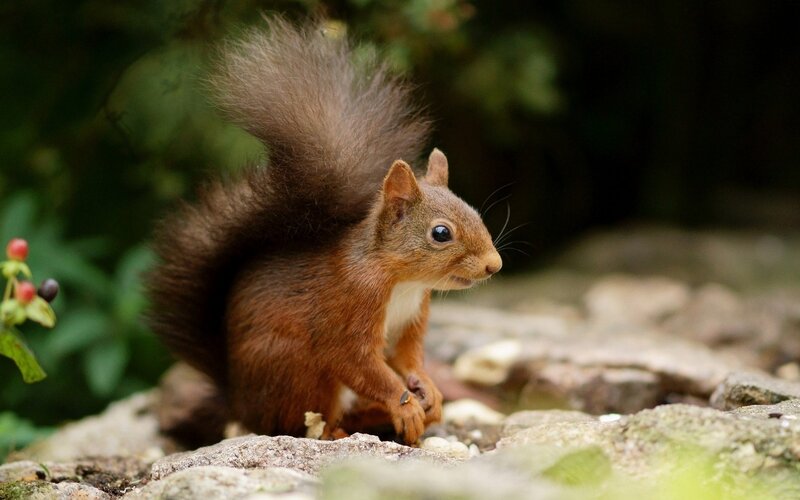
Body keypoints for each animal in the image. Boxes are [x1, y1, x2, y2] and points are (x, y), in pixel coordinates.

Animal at [147, 17, 502, 445]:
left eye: (475, 212)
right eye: (441, 233)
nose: (494, 265)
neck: (401, 279)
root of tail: (241, 403)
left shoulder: (413, 318)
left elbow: (407, 358)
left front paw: (427, 388)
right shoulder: (348, 309)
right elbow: (358, 362)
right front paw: (404, 403)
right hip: (298, 371)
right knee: (300, 423)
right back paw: (337, 430)